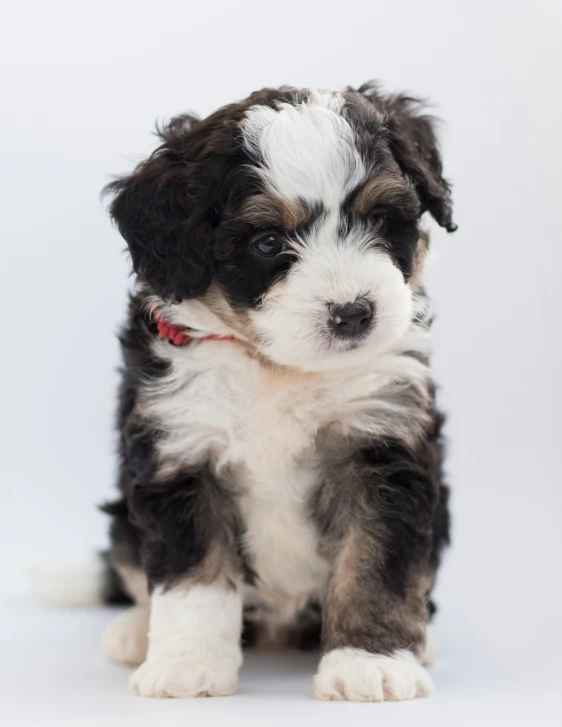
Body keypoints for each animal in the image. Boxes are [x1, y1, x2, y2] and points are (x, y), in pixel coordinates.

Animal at [96, 82, 452, 704]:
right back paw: (135, 631)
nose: (354, 313)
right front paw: (187, 665)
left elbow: (375, 563)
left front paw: (370, 662)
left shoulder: (381, 443)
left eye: (380, 219)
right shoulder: (181, 449)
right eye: (266, 243)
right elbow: (192, 575)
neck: (275, 366)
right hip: (122, 519)